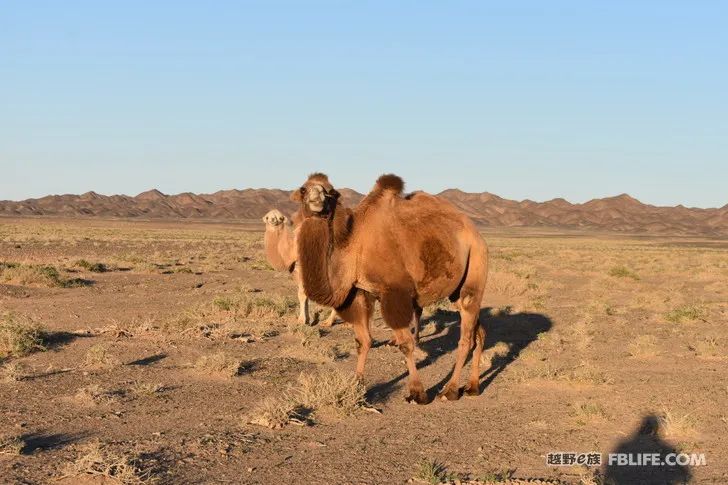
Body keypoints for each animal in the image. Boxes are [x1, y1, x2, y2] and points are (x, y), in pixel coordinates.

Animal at [292, 172, 490, 402]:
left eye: (330, 192)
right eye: (303, 189)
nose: (317, 199)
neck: (355, 247)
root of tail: (475, 233)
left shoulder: (395, 294)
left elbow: (405, 343)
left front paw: (418, 393)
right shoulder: (361, 293)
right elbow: (363, 341)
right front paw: (356, 385)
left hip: (475, 267)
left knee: (466, 337)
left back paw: (449, 390)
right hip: (457, 290)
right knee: (479, 331)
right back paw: (473, 387)